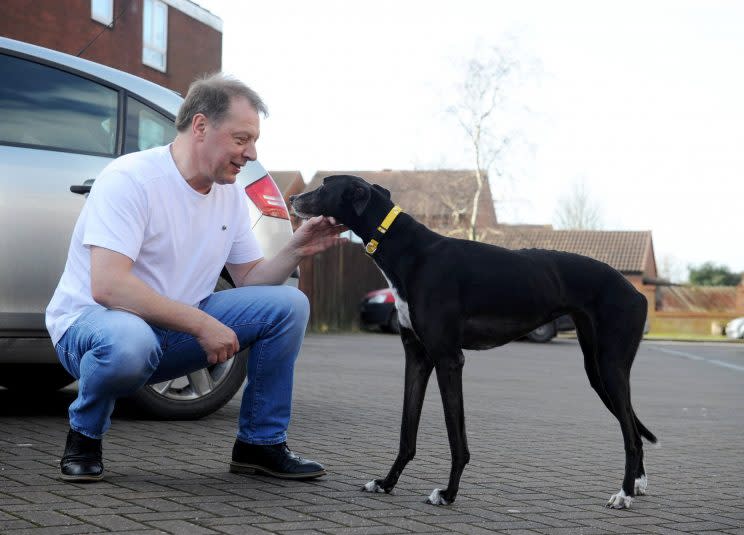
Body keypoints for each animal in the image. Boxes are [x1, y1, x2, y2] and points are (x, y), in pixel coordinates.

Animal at [290, 177, 656, 510]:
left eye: (324, 185)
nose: (293, 198)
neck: (409, 250)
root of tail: (637, 292)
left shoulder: (448, 358)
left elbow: (456, 437)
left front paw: (448, 493)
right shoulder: (418, 357)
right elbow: (407, 432)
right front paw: (386, 482)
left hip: (611, 367)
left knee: (631, 437)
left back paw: (624, 494)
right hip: (597, 370)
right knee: (633, 429)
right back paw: (636, 485)